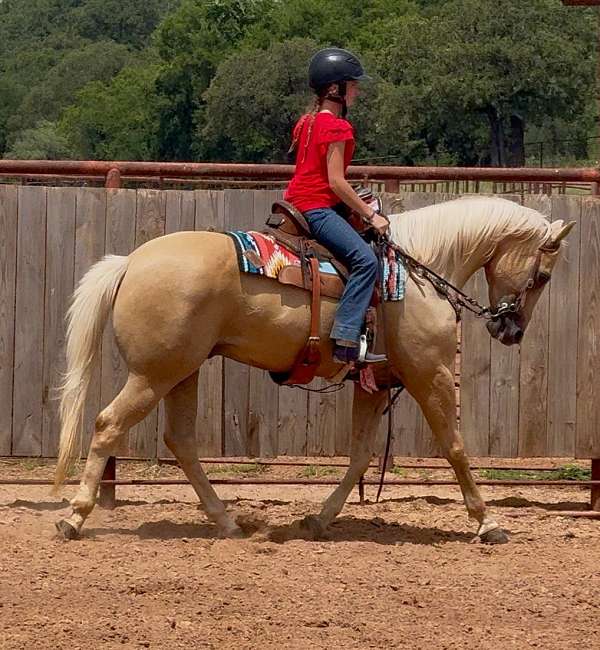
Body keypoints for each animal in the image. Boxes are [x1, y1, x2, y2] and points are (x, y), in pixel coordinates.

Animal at [53, 195, 574, 544]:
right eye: (542, 276)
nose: (510, 330)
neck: (416, 272)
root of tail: (130, 262)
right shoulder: (432, 375)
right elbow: (455, 447)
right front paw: (488, 522)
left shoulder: (374, 384)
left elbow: (361, 455)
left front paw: (320, 519)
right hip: (154, 374)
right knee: (108, 424)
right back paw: (74, 517)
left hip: (183, 370)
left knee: (180, 441)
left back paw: (227, 521)